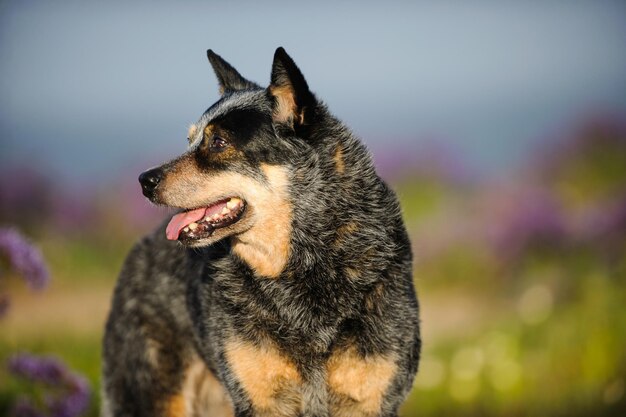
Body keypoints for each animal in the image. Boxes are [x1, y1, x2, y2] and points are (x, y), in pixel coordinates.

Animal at [101, 47, 420, 414]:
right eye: (190, 140)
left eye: (218, 141)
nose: (144, 180)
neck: (304, 265)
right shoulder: (259, 399)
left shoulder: (371, 399)